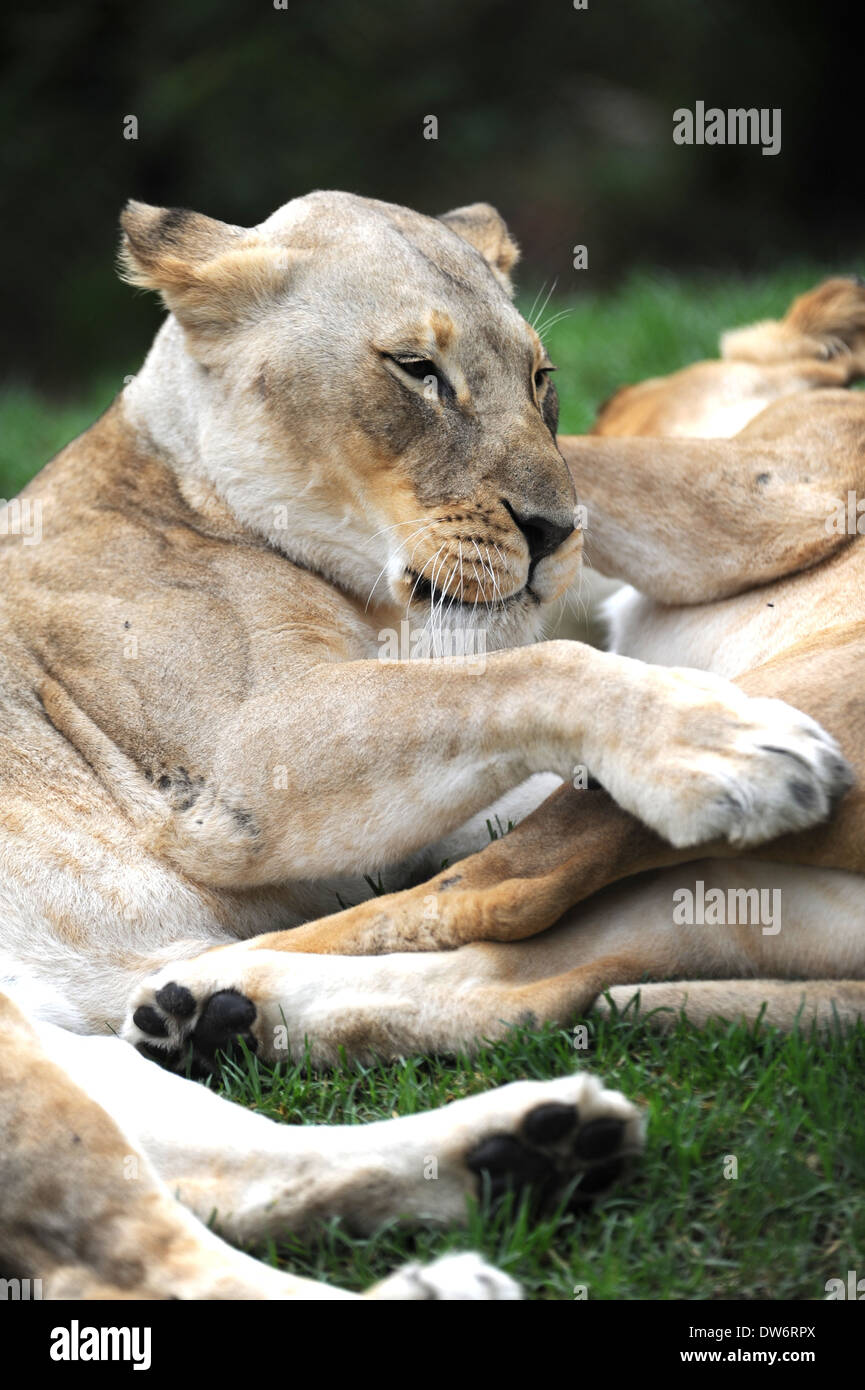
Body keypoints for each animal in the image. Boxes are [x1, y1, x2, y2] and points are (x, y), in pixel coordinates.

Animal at [0, 191, 861, 1299]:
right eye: (417, 370)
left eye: (539, 378)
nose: (556, 529)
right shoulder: (238, 771)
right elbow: (523, 674)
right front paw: (728, 741)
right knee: (123, 1248)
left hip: (75, 1047)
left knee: (212, 1165)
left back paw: (527, 1145)